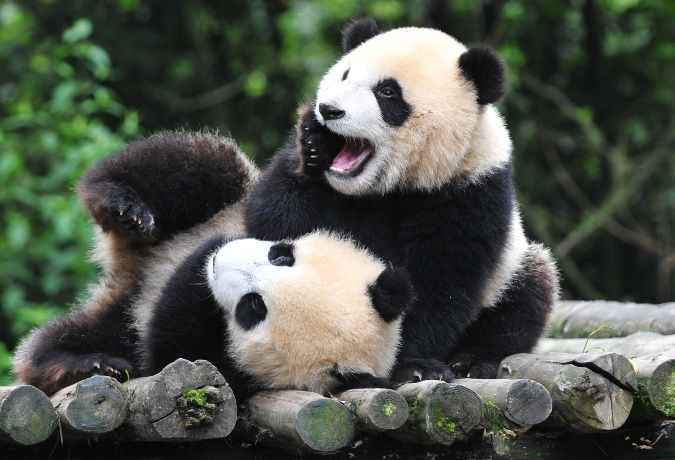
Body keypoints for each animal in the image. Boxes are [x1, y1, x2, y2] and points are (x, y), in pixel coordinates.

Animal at [245, 18, 559, 380]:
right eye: (345, 75)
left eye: (387, 92)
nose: (330, 110)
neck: (395, 184)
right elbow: (274, 220)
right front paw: (314, 145)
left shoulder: (470, 187)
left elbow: (440, 279)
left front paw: (410, 364)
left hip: (511, 268)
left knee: (528, 293)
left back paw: (473, 359)